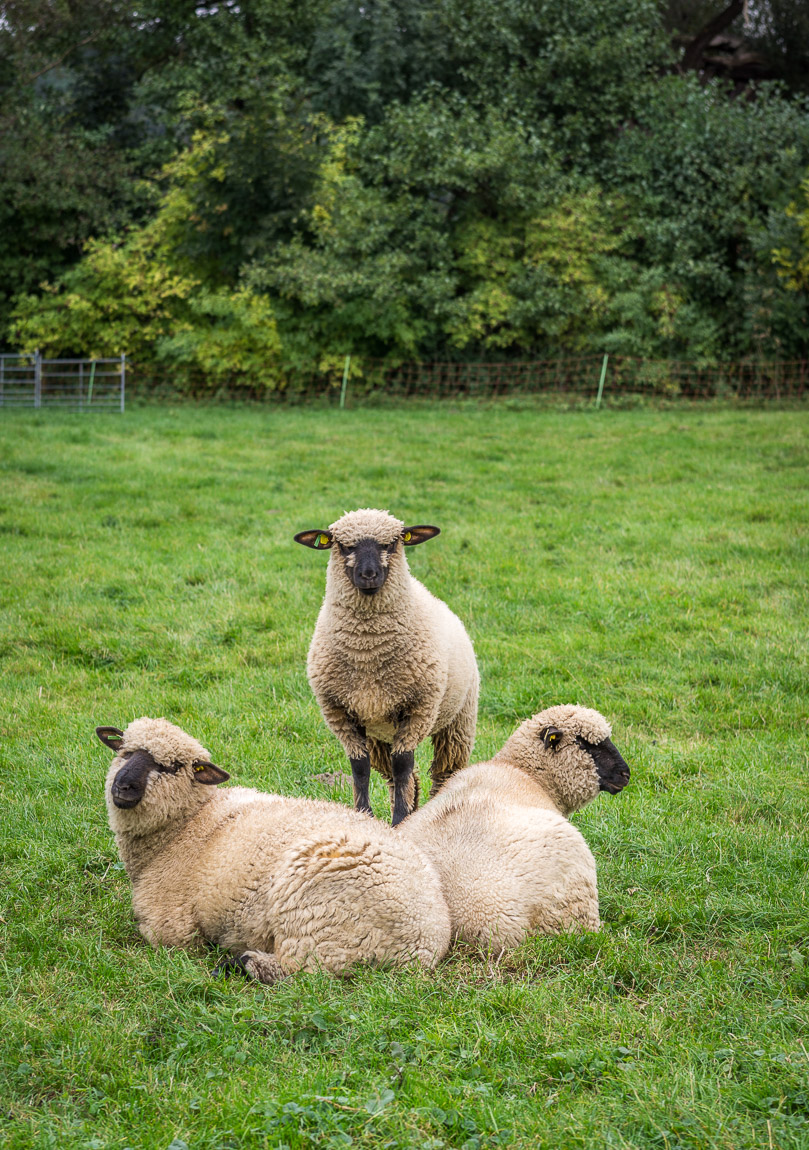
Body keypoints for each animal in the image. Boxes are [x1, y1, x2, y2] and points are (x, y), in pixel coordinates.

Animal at [96, 716, 451, 983]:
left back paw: (241, 964)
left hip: (323, 920)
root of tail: (426, 942)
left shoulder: (170, 927)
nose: (122, 786)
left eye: (170, 766)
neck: (188, 823)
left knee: (306, 971)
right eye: (124, 752)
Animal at [294, 508, 479, 826]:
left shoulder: (418, 709)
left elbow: (403, 764)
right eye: (344, 546)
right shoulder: (339, 712)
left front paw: (399, 820)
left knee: (444, 774)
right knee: (397, 776)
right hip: (379, 733)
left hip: (458, 721)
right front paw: (365, 815)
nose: (368, 575)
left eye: (391, 543)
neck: (368, 651)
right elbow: (360, 767)